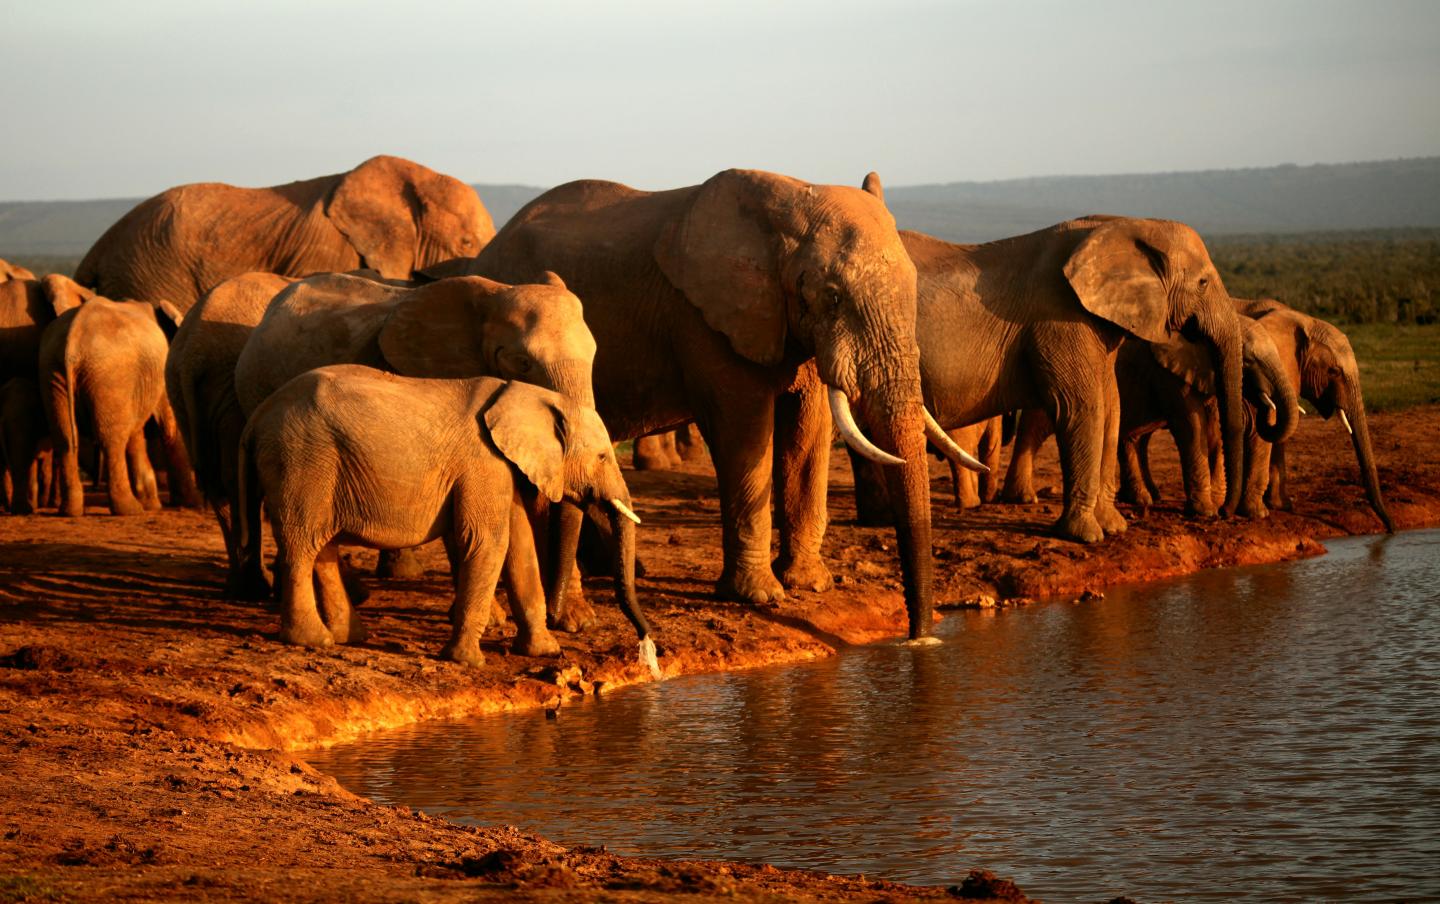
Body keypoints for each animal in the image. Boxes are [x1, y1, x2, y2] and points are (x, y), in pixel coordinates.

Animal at [39, 294, 199, 516]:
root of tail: (73, 342)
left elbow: (137, 434)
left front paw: (153, 505)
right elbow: (168, 427)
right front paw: (188, 503)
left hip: (53, 372)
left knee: (65, 437)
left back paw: (70, 511)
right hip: (110, 374)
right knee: (111, 440)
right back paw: (129, 510)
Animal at [237, 365, 651, 669]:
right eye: (602, 457)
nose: (649, 647)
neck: (531, 395)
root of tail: (256, 415)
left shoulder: (503, 466)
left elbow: (518, 546)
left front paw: (546, 652)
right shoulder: (483, 461)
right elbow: (488, 541)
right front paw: (468, 662)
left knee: (323, 547)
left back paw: (350, 637)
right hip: (302, 462)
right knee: (303, 544)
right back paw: (314, 640)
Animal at [471, 169, 982, 641]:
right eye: (832, 296)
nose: (920, 637)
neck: (791, 199)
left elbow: (809, 431)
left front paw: (809, 584)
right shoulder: (705, 317)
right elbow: (745, 430)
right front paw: (761, 596)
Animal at [852, 216, 1250, 545]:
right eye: (1203, 282)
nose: (1226, 514)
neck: (1124, 223)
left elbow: (1110, 410)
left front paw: (1114, 528)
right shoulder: (1059, 320)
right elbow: (1083, 409)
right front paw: (1085, 536)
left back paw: (879, 520)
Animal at [1235, 297, 1393, 531]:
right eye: (1334, 371)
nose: (1391, 528)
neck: (1302, 320)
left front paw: (1282, 506)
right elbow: (1261, 431)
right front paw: (1258, 514)